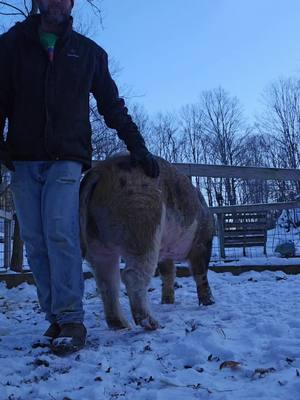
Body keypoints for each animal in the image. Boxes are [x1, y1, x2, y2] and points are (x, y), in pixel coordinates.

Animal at [79, 155, 214, 330]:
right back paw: (153, 324)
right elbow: (200, 273)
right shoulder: (202, 242)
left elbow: (168, 274)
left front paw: (167, 302)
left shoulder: (165, 253)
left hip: (96, 242)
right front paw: (210, 303)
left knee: (106, 281)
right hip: (143, 222)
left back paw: (121, 325)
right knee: (132, 275)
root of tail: (99, 172)